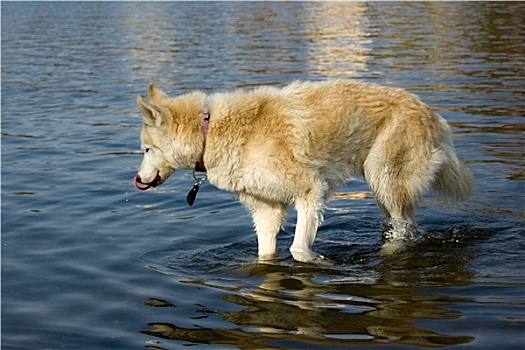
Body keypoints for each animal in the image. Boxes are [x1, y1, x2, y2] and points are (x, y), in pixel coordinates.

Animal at [133, 79, 472, 262]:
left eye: (146, 150)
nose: (137, 179)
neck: (210, 131)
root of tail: (431, 113)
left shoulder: (311, 192)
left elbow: (297, 248)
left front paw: (320, 261)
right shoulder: (267, 211)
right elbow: (266, 253)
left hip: (382, 180)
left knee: (403, 230)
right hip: (385, 191)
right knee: (408, 225)